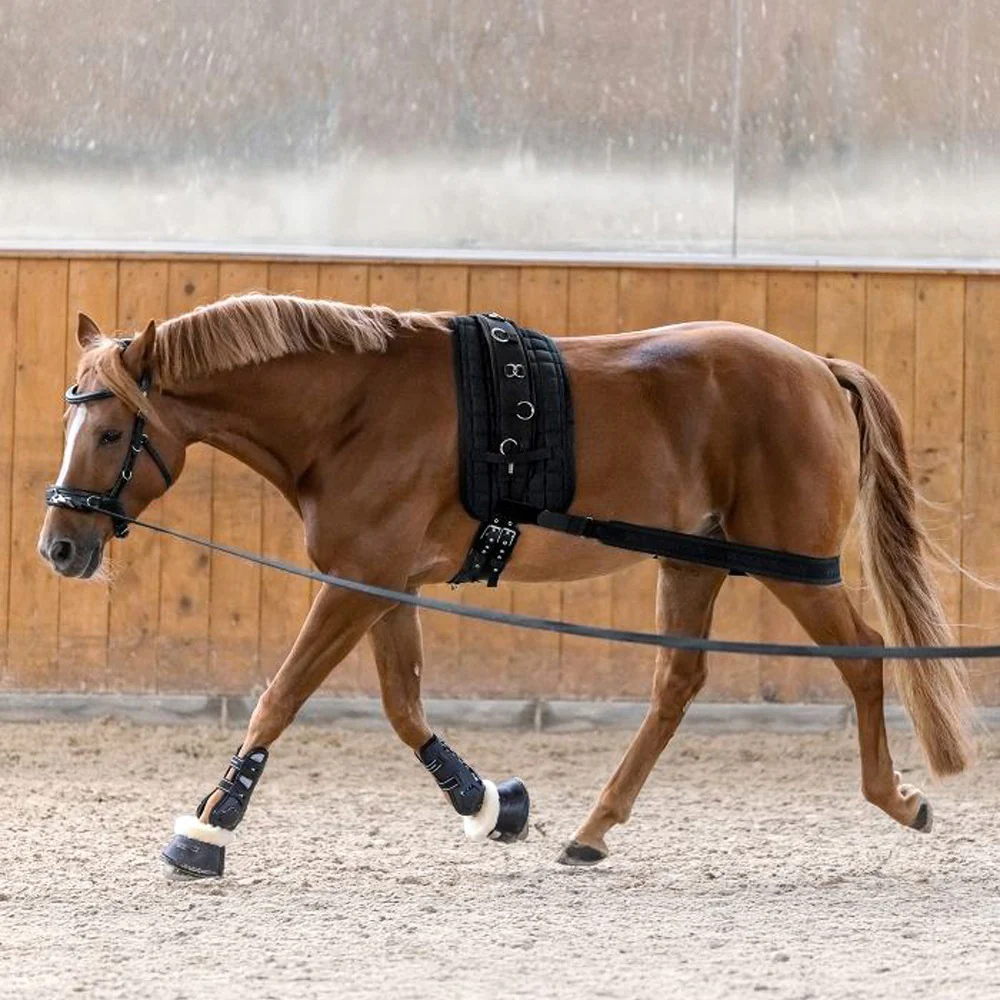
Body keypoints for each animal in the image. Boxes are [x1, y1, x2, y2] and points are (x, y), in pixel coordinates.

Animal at [38, 294, 974, 877]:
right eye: (71, 421)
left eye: (114, 430)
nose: (59, 547)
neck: (354, 409)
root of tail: (815, 367)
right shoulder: (382, 584)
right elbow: (404, 706)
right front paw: (491, 804)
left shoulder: (358, 581)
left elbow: (283, 696)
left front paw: (210, 824)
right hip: (692, 561)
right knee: (677, 684)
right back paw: (593, 832)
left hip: (795, 568)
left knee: (863, 658)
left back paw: (897, 799)